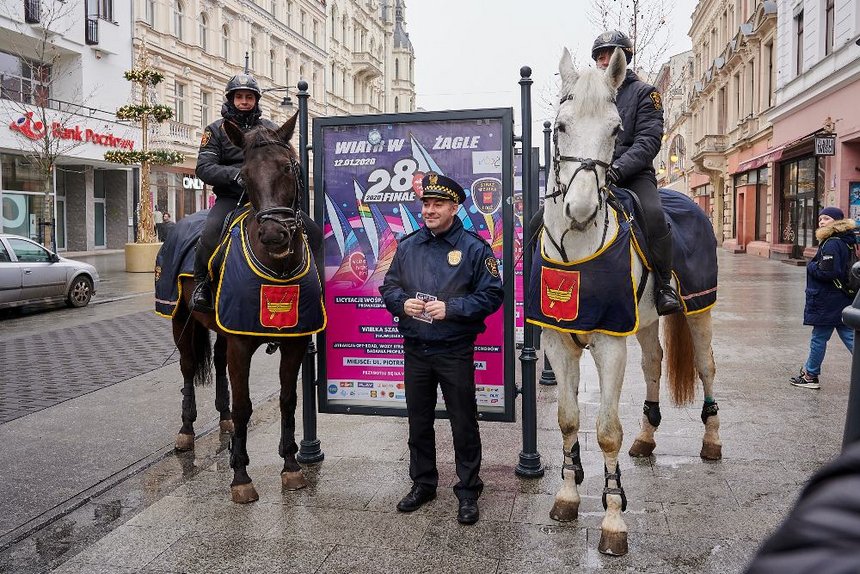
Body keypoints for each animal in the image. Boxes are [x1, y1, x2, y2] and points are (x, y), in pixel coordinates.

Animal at [171, 113, 322, 504]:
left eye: (288, 166)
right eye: (246, 174)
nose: (273, 235)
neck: (278, 268)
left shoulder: (294, 341)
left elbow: (288, 399)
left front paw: (292, 465)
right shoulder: (242, 343)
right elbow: (244, 405)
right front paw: (240, 474)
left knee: (218, 363)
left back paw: (221, 419)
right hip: (181, 319)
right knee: (188, 369)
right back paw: (187, 430)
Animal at [536, 49, 724, 560]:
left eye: (616, 130)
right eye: (560, 126)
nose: (581, 210)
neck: (577, 252)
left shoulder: (609, 344)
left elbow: (605, 431)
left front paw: (613, 516)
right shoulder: (559, 342)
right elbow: (567, 420)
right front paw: (567, 495)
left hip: (698, 310)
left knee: (706, 367)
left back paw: (711, 440)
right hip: (644, 322)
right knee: (655, 362)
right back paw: (646, 435)